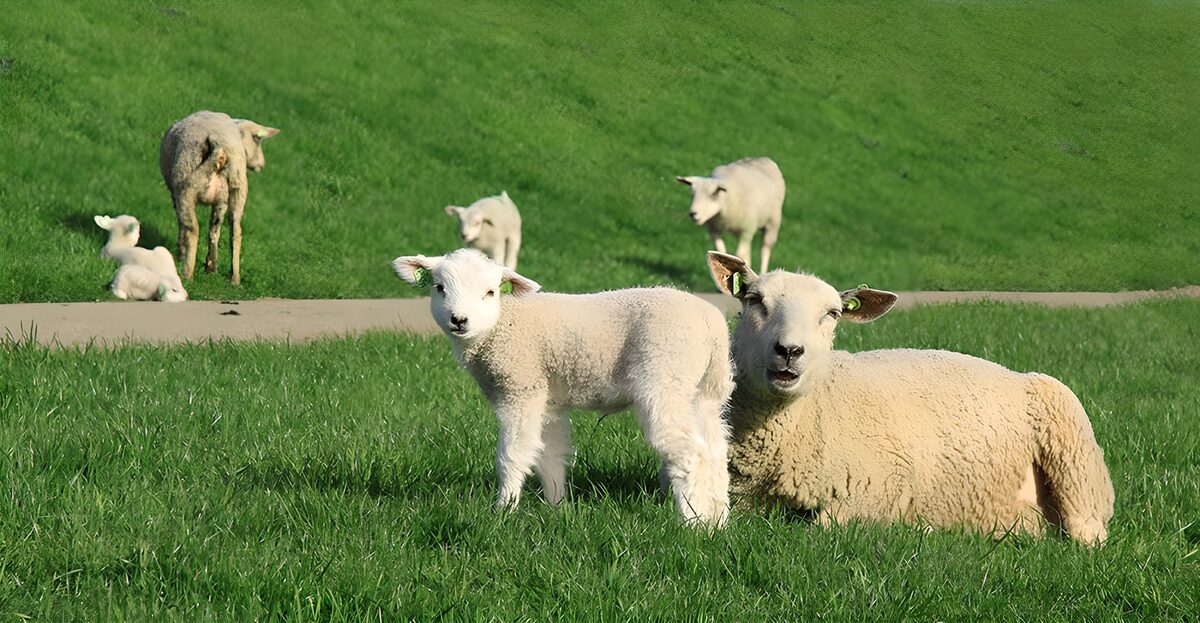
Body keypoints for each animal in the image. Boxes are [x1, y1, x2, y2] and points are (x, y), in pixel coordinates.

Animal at [160, 110, 279, 284]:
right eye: (257, 140)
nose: (261, 165)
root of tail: (218, 145)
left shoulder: (175, 193)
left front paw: (181, 253)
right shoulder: (222, 200)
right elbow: (215, 228)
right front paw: (211, 266)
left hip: (186, 186)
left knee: (192, 229)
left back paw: (187, 274)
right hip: (237, 189)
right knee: (234, 230)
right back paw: (232, 277)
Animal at [392, 248, 734, 528]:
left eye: (490, 292)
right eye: (439, 288)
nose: (459, 320)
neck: (502, 323)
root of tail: (711, 323)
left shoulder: (521, 387)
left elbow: (512, 455)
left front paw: (503, 511)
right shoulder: (547, 399)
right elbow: (551, 455)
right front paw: (557, 509)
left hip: (664, 377)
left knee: (690, 453)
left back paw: (692, 522)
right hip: (706, 390)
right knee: (716, 450)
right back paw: (717, 520)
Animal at [707, 251, 1114, 545]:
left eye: (833, 313)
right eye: (754, 299)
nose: (790, 351)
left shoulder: (881, 486)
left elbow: (825, 525)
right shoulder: (739, 498)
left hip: (1077, 470)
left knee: (1089, 536)